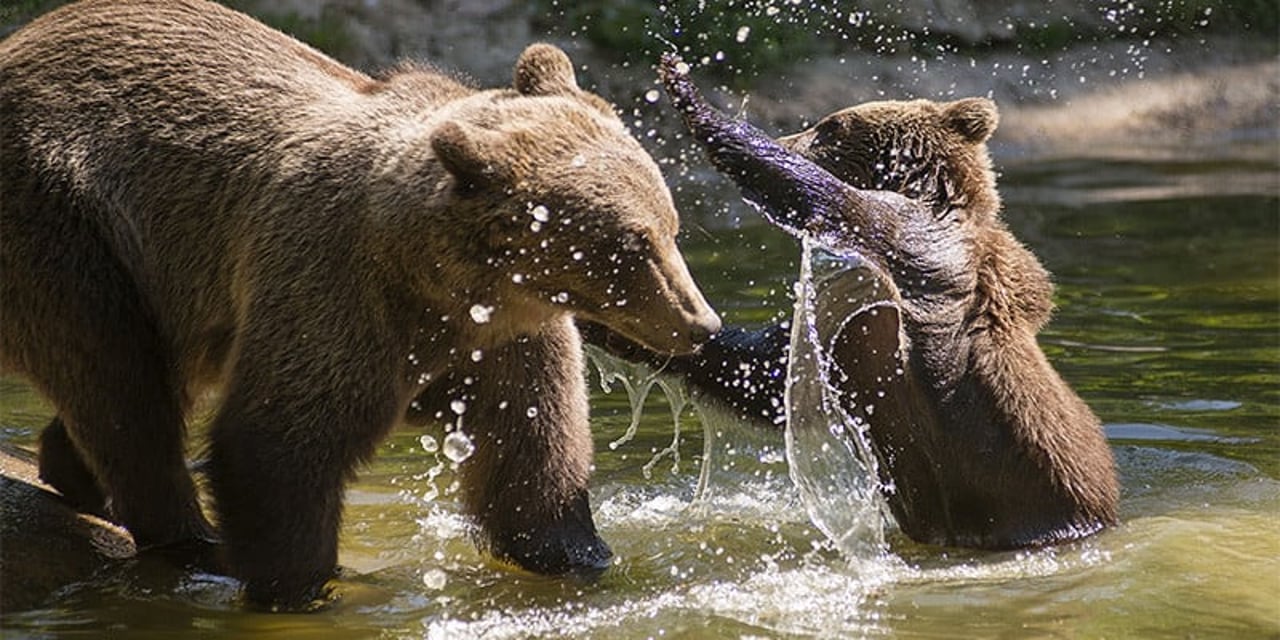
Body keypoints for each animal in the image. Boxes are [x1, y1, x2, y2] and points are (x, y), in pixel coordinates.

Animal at [0, 0, 721, 609]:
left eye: (670, 227)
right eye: (631, 244)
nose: (701, 324)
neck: (444, 282)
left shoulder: (507, 337)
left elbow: (533, 457)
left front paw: (582, 554)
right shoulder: (334, 286)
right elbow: (281, 442)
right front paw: (299, 585)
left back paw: (77, 475)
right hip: (69, 222)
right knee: (116, 379)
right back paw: (191, 540)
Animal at [588, 56, 1121, 550]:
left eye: (831, 124)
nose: (789, 136)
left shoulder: (909, 243)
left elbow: (820, 196)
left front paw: (685, 89)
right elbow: (764, 369)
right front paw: (615, 329)